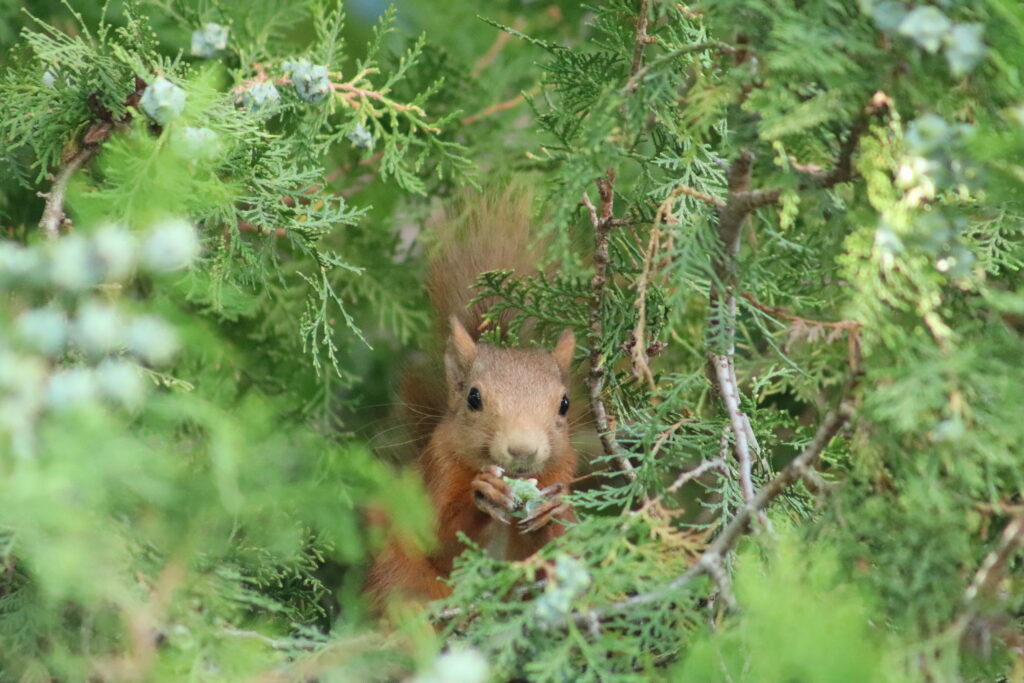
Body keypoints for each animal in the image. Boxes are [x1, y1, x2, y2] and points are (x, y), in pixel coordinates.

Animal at [367, 187, 578, 604]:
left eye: (564, 404)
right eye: (474, 399)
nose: (523, 450)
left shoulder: (562, 469)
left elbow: (555, 551)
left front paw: (553, 510)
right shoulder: (439, 470)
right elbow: (441, 545)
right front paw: (486, 495)